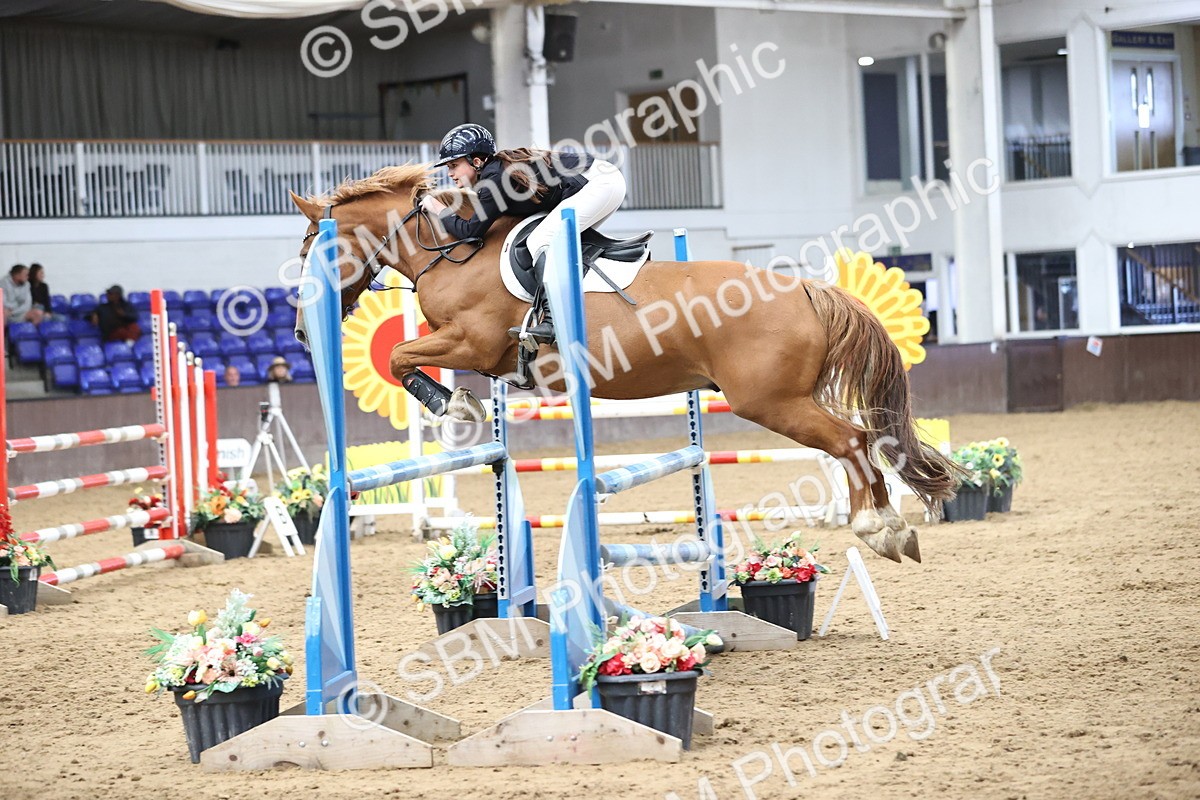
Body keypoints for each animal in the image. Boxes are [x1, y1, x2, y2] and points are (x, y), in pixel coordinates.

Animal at [289, 164, 960, 563]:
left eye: (309, 249)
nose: (299, 331)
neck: (454, 248)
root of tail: (805, 288)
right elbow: (406, 355)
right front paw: (462, 401)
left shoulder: (472, 343)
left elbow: (399, 354)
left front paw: (454, 403)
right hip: (786, 399)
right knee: (864, 440)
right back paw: (891, 526)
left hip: (770, 402)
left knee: (852, 441)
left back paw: (878, 528)